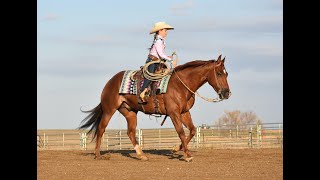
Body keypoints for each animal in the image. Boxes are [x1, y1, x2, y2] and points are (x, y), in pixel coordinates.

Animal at [79, 53, 231, 162]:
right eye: (219, 73)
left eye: (227, 73)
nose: (226, 93)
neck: (181, 85)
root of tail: (110, 81)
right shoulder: (174, 113)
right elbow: (181, 132)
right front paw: (187, 155)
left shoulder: (184, 112)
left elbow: (192, 130)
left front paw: (176, 149)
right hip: (109, 109)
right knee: (101, 129)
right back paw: (98, 155)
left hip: (130, 111)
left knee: (130, 132)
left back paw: (141, 155)